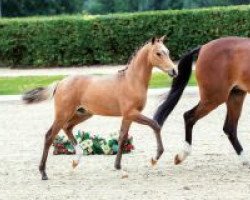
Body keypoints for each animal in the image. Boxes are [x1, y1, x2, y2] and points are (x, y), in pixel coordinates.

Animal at [22, 36, 178, 180]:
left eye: (168, 52)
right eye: (158, 53)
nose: (174, 71)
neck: (131, 81)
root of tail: (60, 82)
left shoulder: (128, 116)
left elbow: (122, 138)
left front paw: (119, 168)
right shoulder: (132, 113)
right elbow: (155, 125)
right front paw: (154, 159)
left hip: (83, 114)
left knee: (67, 128)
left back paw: (76, 160)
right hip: (63, 113)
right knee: (50, 136)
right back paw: (43, 173)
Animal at [153, 36, 250, 166]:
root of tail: (203, 47)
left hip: (235, 95)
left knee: (230, 128)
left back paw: (245, 160)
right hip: (214, 97)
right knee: (189, 116)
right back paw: (182, 155)